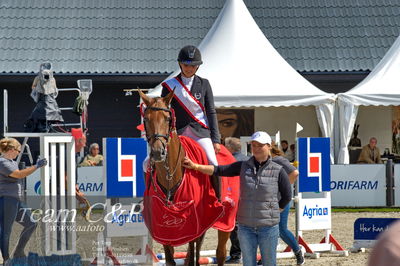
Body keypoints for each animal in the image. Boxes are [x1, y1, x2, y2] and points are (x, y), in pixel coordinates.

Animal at [138, 90, 230, 266]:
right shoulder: (165, 227)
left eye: (167, 118)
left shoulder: (194, 222)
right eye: (146, 119)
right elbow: (170, 259)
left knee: (219, 252)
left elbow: (194, 254)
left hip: (226, 221)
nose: (158, 152)